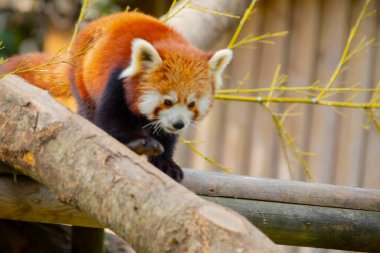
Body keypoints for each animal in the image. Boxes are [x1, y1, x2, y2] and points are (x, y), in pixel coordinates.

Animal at [0, 12, 233, 182]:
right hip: (83, 78)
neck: (168, 42)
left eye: (191, 104)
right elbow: (110, 122)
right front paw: (141, 143)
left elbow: (166, 137)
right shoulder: (116, 81)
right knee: (90, 113)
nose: (179, 124)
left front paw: (167, 162)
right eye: (167, 101)